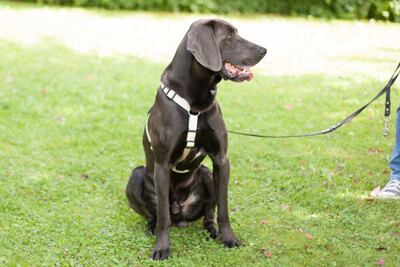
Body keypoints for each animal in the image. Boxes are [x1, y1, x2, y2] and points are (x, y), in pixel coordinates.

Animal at [126, 17, 268, 260]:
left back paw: (212, 230)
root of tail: (180, 212)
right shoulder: (162, 165)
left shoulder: (221, 159)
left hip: (207, 174)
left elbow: (223, 208)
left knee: (209, 212)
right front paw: (161, 247)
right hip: (135, 177)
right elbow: (163, 216)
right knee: (156, 214)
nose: (263, 50)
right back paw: (152, 227)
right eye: (228, 36)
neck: (195, 100)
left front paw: (229, 238)